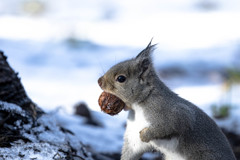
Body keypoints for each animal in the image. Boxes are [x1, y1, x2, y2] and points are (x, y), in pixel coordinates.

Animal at [97, 40, 236, 159]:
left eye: (121, 78)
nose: (99, 81)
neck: (138, 107)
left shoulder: (172, 112)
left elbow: (171, 125)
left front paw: (145, 135)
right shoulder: (133, 134)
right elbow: (132, 150)